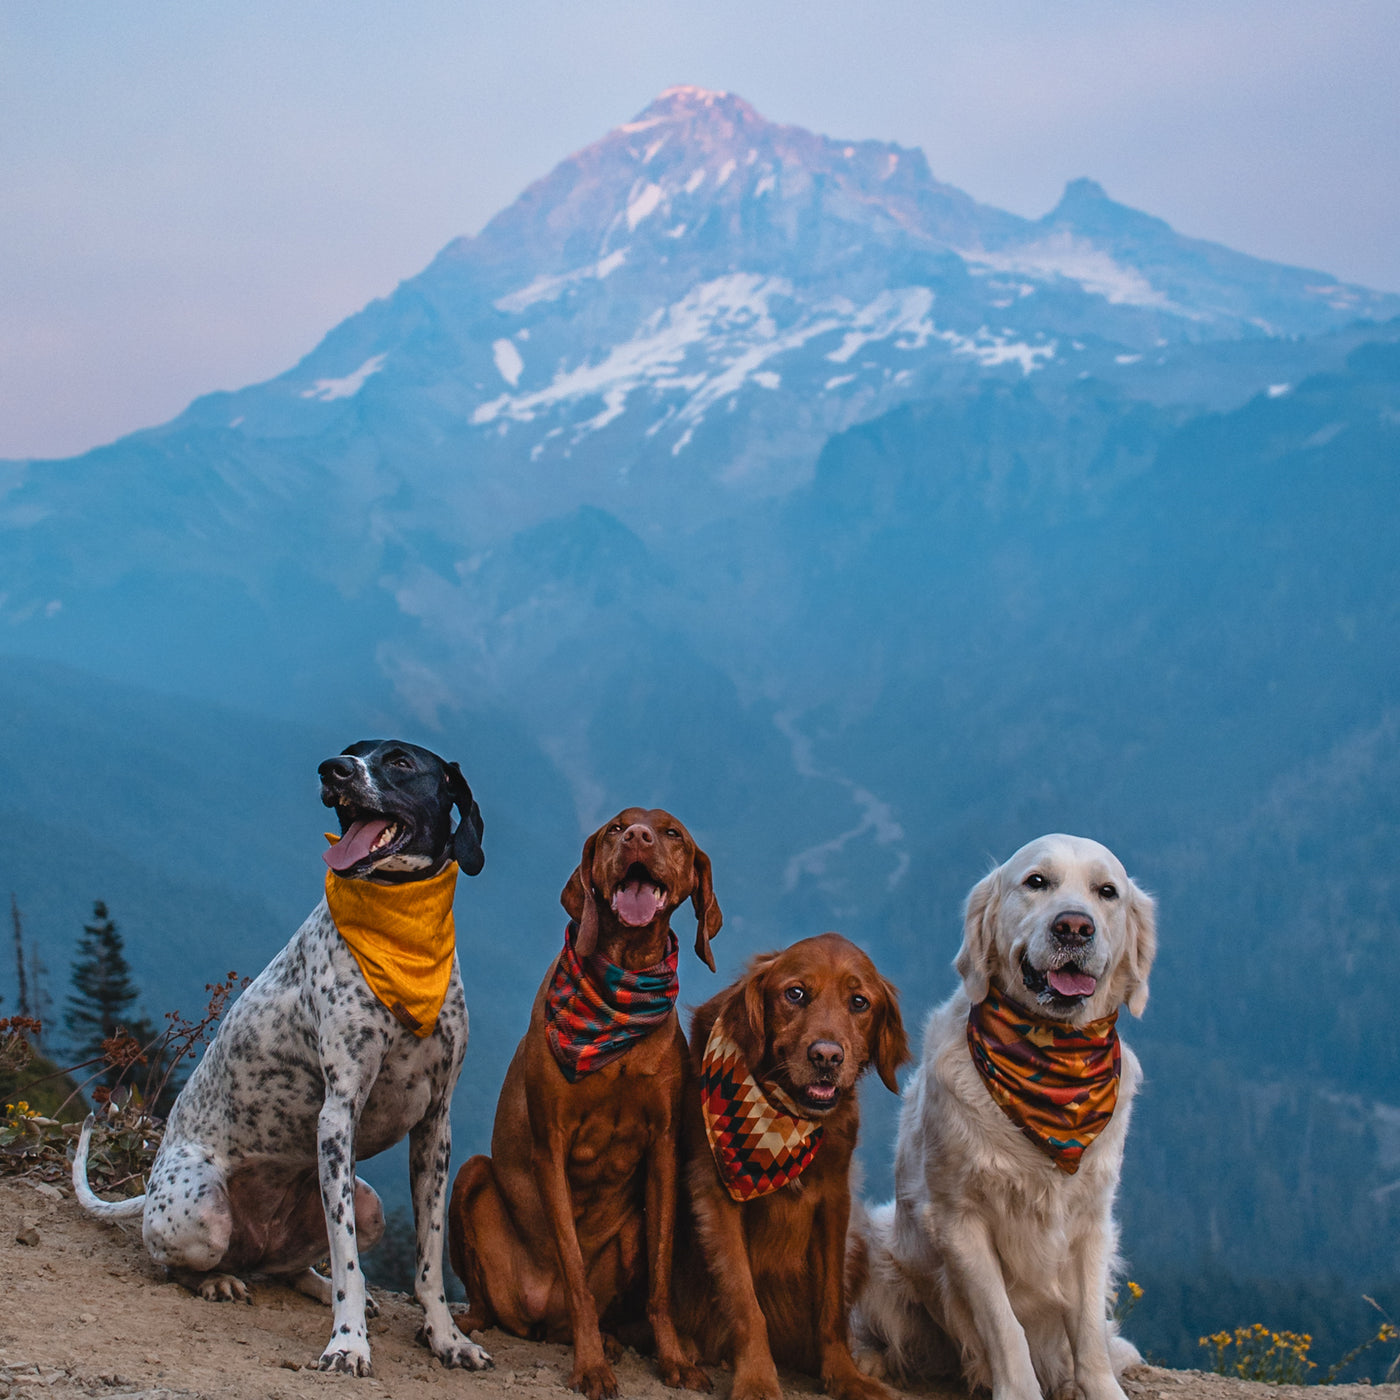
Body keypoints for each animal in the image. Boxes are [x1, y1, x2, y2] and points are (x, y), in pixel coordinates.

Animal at [76, 744, 495, 1377]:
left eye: (399, 762)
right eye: (354, 748)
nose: (334, 768)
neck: (402, 929)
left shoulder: (435, 1126)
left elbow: (427, 1261)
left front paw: (445, 1338)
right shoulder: (339, 1114)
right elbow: (349, 1261)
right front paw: (348, 1343)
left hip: (367, 1203)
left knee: (292, 1267)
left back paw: (316, 1285)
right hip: (201, 1211)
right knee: (178, 1263)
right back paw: (219, 1282)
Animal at [450, 812, 722, 1400]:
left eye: (673, 834)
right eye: (616, 827)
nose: (637, 837)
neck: (621, 988)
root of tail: (538, 1315)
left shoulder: (664, 1147)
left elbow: (661, 1281)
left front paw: (673, 1359)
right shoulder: (550, 1143)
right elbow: (575, 1272)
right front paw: (591, 1367)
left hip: (633, 1227)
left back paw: (614, 1338)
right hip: (472, 1177)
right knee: (492, 1299)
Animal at [674, 935, 907, 1400]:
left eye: (859, 1002)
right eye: (795, 993)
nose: (827, 1056)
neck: (784, 1118)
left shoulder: (835, 1200)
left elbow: (832, 1306)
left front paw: (844, 1375)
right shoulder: (715, 1195)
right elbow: (745, 1301)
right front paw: (757, 1380)